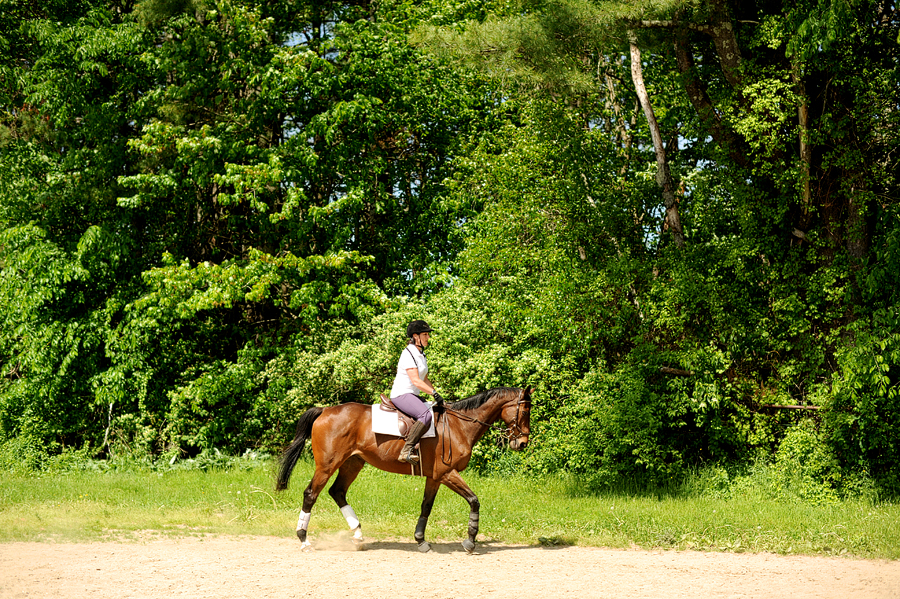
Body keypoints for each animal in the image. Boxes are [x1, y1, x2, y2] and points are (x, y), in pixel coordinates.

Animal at [272, 390, 528, 552]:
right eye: (525, 411)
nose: (523, 443)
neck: (459, 425)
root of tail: (325, 410)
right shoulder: (447, 473)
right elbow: (474, 500)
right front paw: (470, 541)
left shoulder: (435, 477)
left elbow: (426, 507)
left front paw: (421, 541)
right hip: (327, 465)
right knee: (311, 494)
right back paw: (304, 540)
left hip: (352, 463)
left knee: (338, 492)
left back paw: (358, 535)